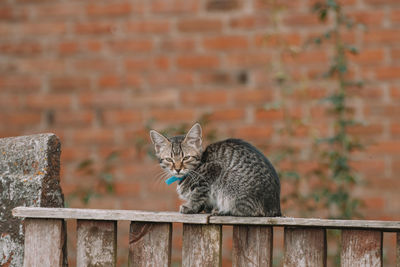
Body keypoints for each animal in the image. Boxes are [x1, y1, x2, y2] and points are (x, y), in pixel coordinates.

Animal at [149, 123, 282, 218]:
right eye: (169, 159)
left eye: (186, 158)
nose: (177, 169)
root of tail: (275, 208)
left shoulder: (211, 171)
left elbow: (197, 194)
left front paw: (190, 207)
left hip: (231, 190)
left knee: (250, 211)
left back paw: (223, 211)